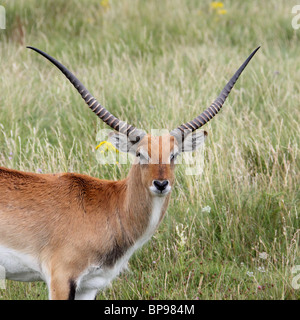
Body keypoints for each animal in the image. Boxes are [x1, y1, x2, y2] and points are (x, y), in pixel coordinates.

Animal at [0, 46, 258, 298]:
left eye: (174, 154)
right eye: (140, 153)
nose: (161, 184)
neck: (109, 205)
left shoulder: (89, 286)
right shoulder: (61, 279)